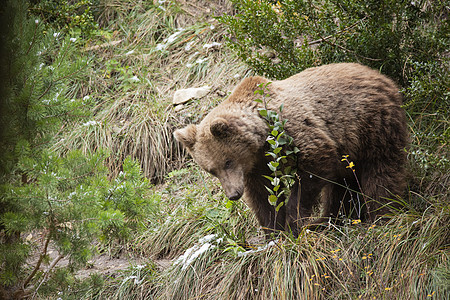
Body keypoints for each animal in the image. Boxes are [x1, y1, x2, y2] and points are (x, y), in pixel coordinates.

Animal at [175, 63, 408, 236]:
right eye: (211, 170)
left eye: (227, 161)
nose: (233, 194)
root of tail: (381, 75)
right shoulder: (257, 165)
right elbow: (263, 195)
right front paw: (274, 231)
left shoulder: (294, 131)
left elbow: (314, 166)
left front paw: (292, 222)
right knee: (341, 188)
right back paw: (327, 221)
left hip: (372, 125)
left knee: (380, 172)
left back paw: (382, 214)